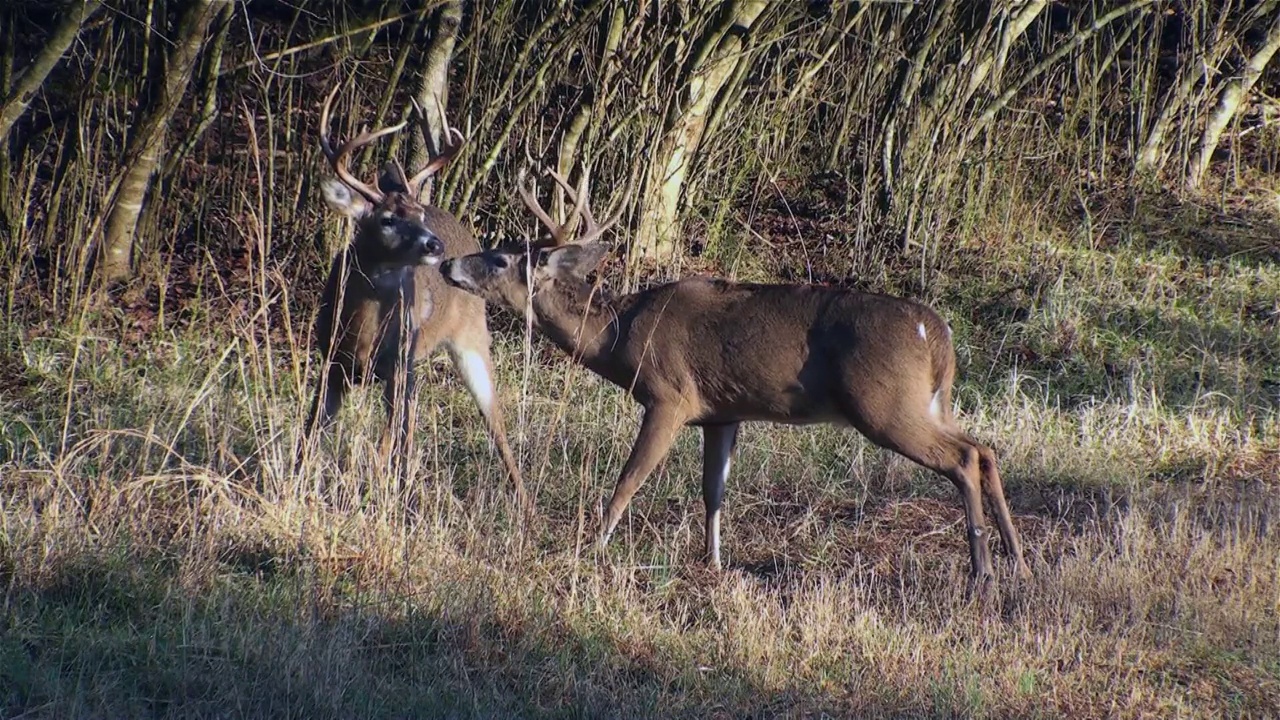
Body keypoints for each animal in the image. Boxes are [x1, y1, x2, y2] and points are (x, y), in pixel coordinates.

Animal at [299, 82, 519, 486]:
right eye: (387, 219)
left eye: (418, 214)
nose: (435, 245)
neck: (362, 334)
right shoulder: (331, 362)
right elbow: (308, 438)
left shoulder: (398, 366)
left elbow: (382, 448)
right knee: (412, 425)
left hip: (469, 339)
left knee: (496, 426)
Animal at [440, 166, 1029, 584]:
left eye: (499, 258)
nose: (448, 265)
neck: (617, 335)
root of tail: (939, 333)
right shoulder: (722, 414)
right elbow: (713, 491)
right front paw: (715, 562)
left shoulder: (669, 395)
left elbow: (629, 479)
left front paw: (593, 546)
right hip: (932, 401)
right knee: (984, 448)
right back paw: (1017, 559)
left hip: (885, 404)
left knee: (962, 457)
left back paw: (983, 569)